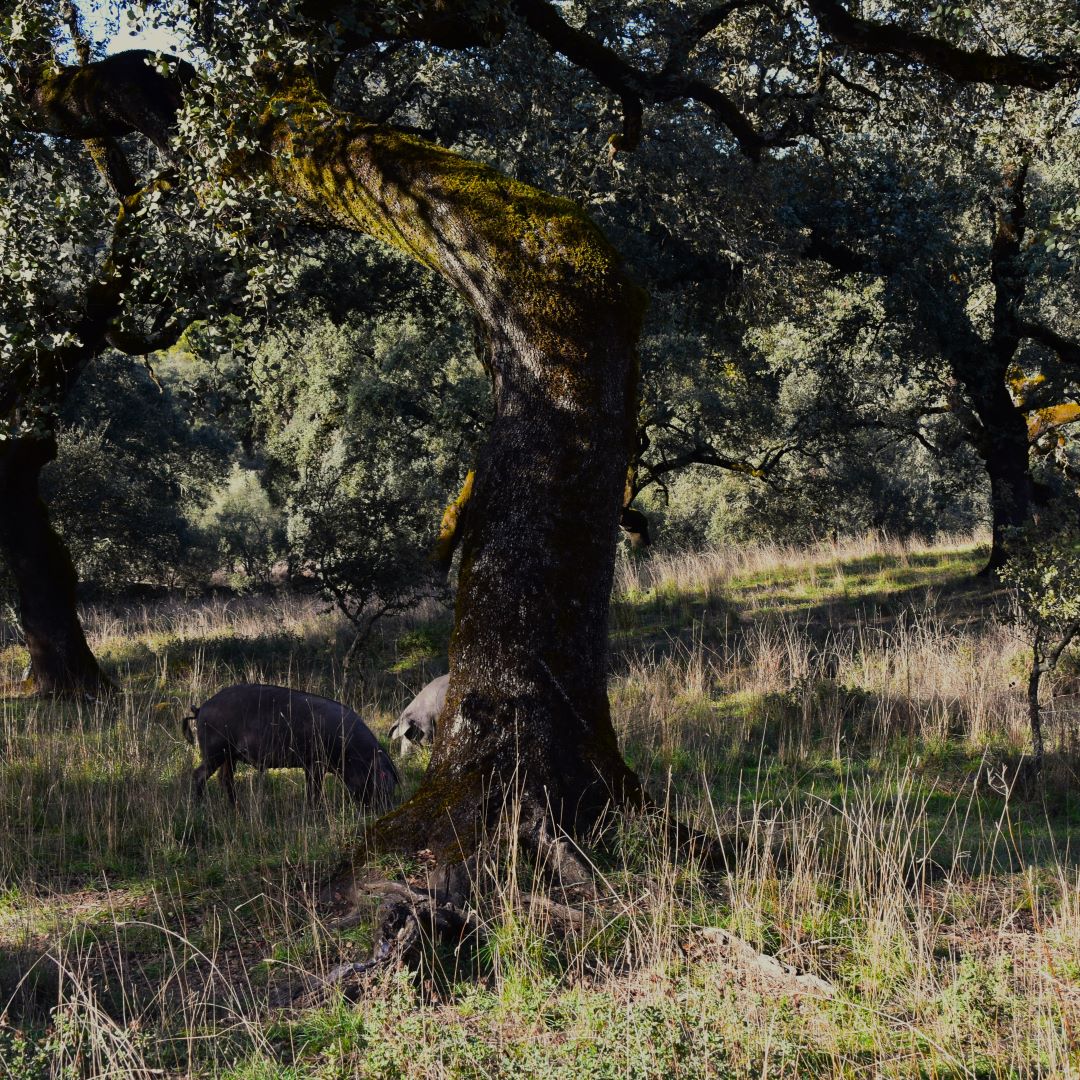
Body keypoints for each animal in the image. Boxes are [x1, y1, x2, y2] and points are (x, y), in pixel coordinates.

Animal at [182, 684, 399, 808]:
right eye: (382, 778)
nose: (387, 810)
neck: (350, 750)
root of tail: (200, 708)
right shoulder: (315, 763)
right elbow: (314, 790)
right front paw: (315, 810)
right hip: (215, 750)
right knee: (199, 774)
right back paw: (199, 807)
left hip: (229, 756)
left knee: (225, 778)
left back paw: (236, 808)